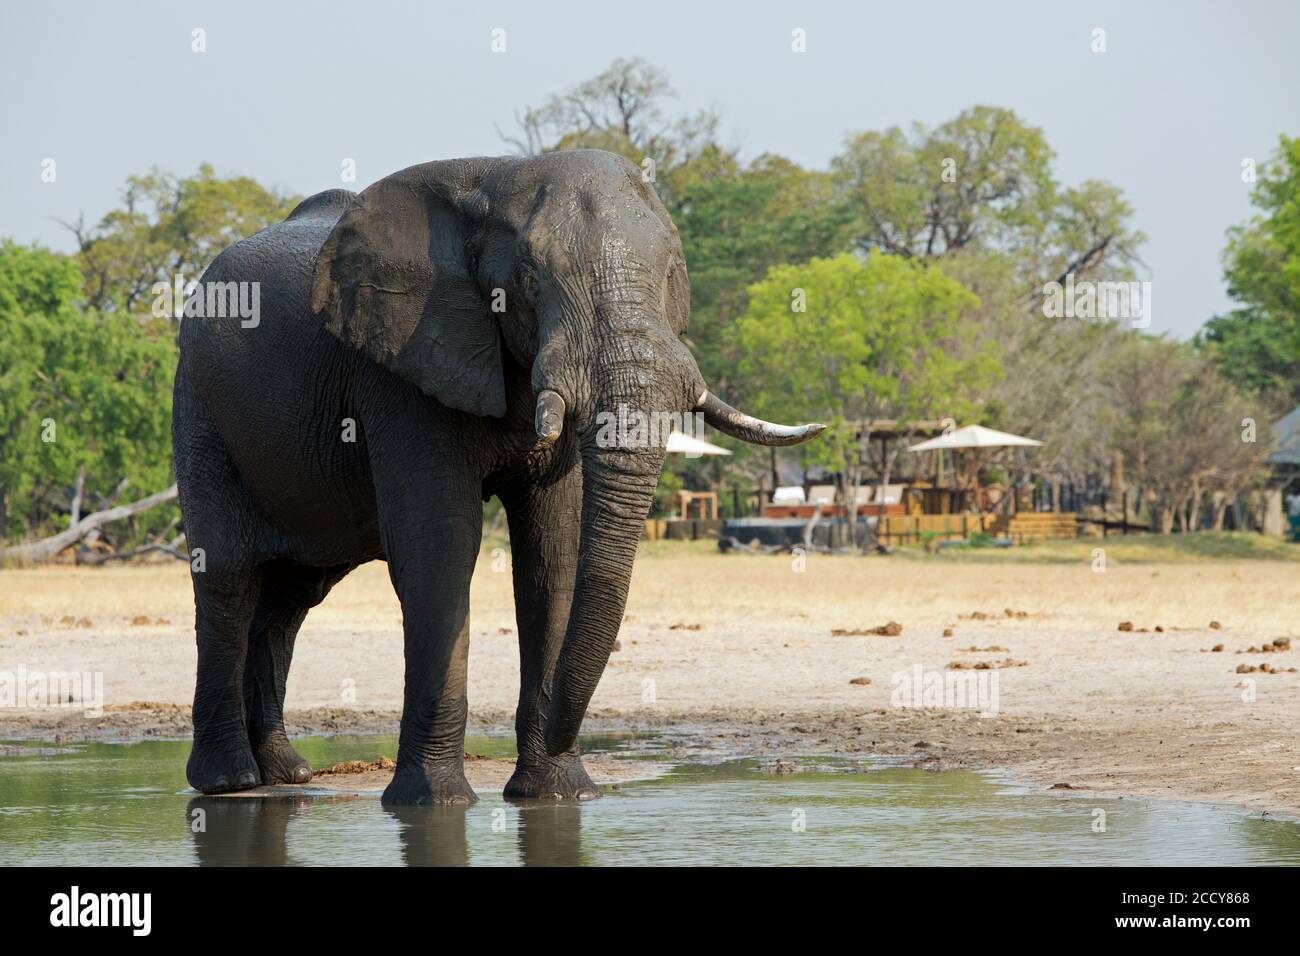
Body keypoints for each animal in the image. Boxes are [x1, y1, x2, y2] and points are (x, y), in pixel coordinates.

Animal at [172, 151, 821, 806]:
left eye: (671, 273)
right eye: (530, 282)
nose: (564, 733)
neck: (494, 178)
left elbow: (552, 555)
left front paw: (556, 794)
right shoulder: (401, 370)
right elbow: (440, 555)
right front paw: (433, 804)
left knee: (292, 597)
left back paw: (286, 774)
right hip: (198, 406)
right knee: (229, 578)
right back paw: (228, 782)